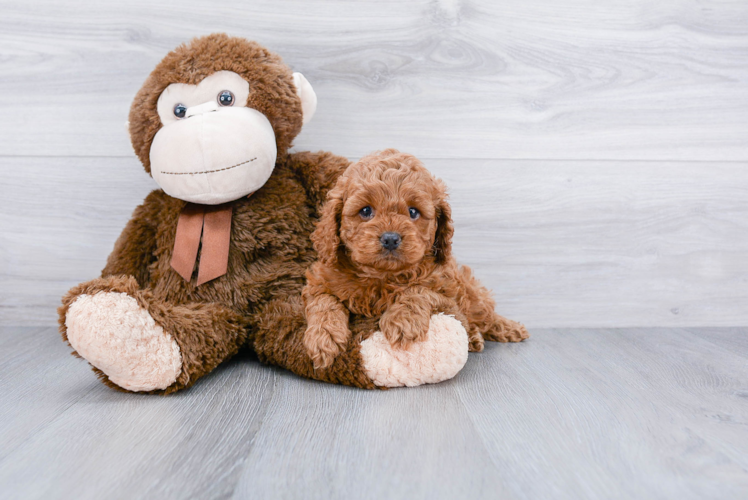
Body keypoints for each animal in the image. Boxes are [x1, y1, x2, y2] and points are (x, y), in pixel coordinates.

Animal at [300, 150, 528, 370]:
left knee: (484, 314)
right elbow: (325, 301)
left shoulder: (449, 298)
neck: (382, 276)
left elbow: (419, 290)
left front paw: (402, 320)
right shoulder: (319, 281)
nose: (390, 238)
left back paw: (507, 329)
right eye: (365, 210)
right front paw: (323, 336)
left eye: (413, 212)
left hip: (471, 294)